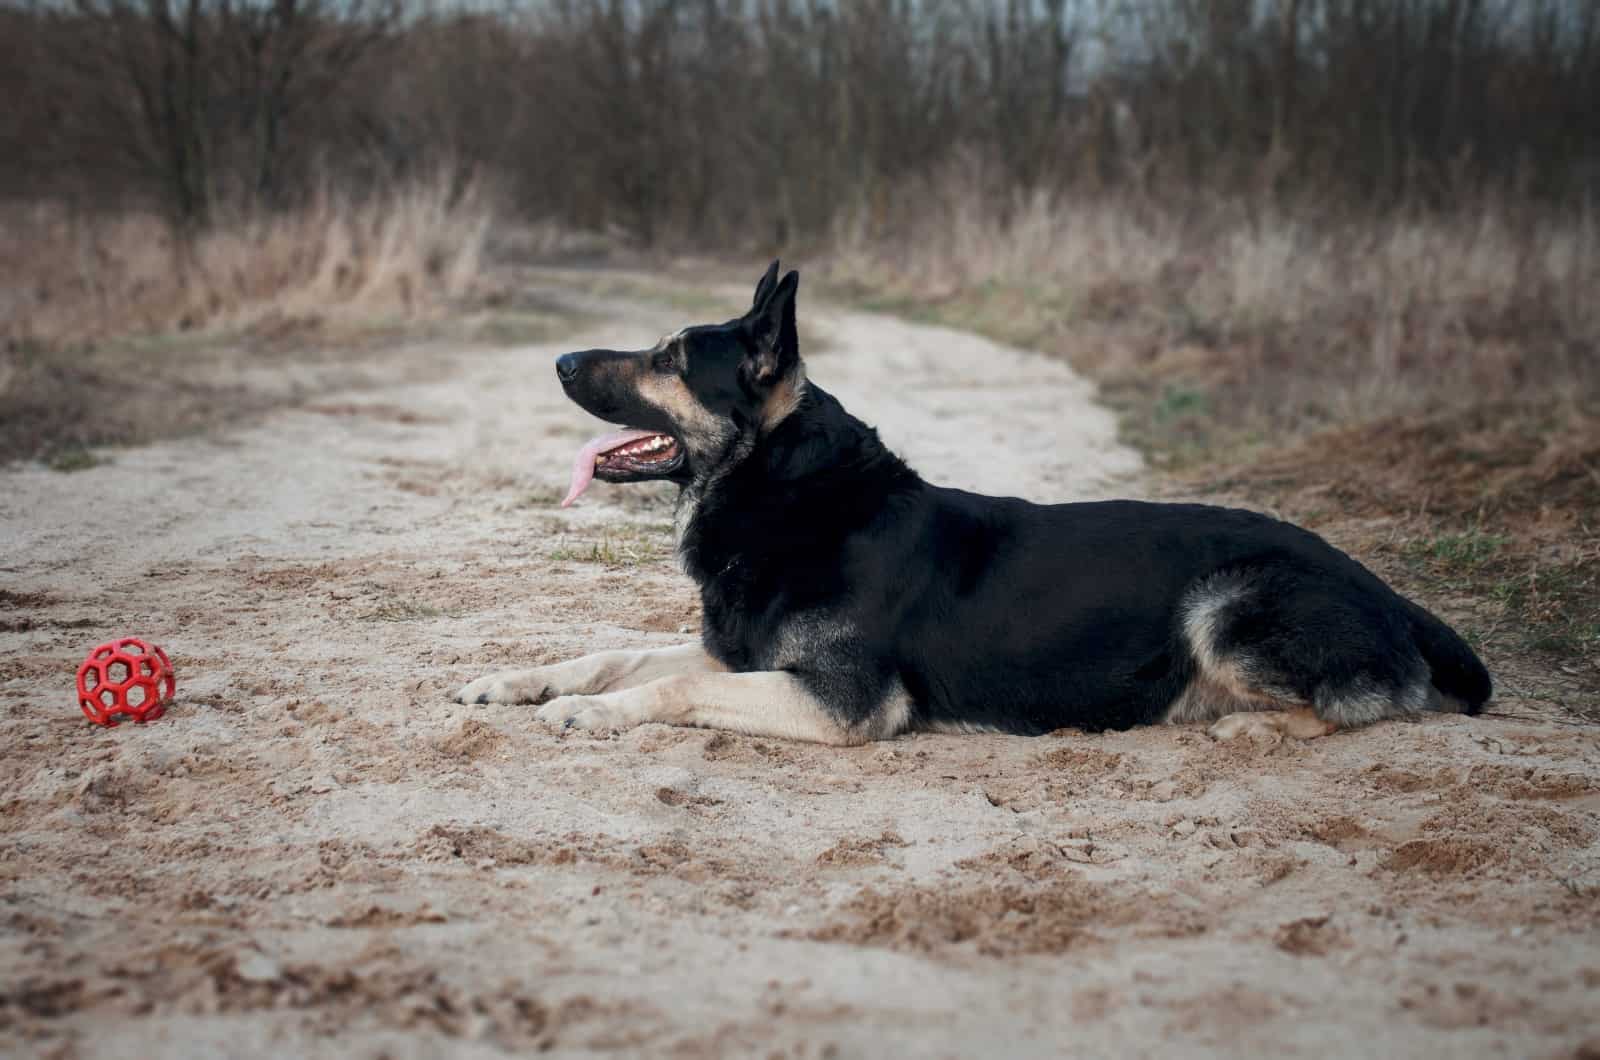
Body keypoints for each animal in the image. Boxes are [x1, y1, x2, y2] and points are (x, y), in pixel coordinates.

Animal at [457, 265, 1491, 746]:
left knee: (1363, 708)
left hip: (1227, 601)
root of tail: (1391, 594)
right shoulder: (740, 656)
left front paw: (591, 714)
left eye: (670, 359)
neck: (789, 495)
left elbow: (670, 686)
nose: (559, 362)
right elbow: (612, 653)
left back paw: (1239, 724)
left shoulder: (843, 701)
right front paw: (517, 682)